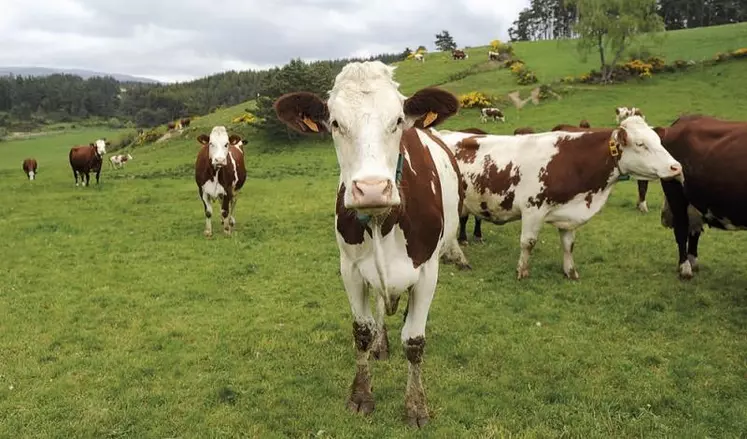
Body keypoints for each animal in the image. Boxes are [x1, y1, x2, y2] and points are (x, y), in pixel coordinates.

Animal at [272, 60, 470, 428]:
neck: (383, 220)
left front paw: (415, 405)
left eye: (398, 121)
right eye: (336, 123)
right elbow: (361, 331)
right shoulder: (349, 267)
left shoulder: (427, 271)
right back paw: (382, 342)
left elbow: (415, 341)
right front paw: (361, 394)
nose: (372, 189)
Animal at [438, 112, 684, 278]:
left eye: (659, 141)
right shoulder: (532, 209)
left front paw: (570, 272)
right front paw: (522, 271)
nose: (676, 167)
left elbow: (568, 244)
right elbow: (528, 242)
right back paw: (461, 259)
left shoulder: (569, 213)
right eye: (641, 144)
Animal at [656, 115, 747, 280]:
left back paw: (693, 262)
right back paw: (685, 268)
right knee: (681, 228)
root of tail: (684, 119)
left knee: (694, 229)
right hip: (675, 193)